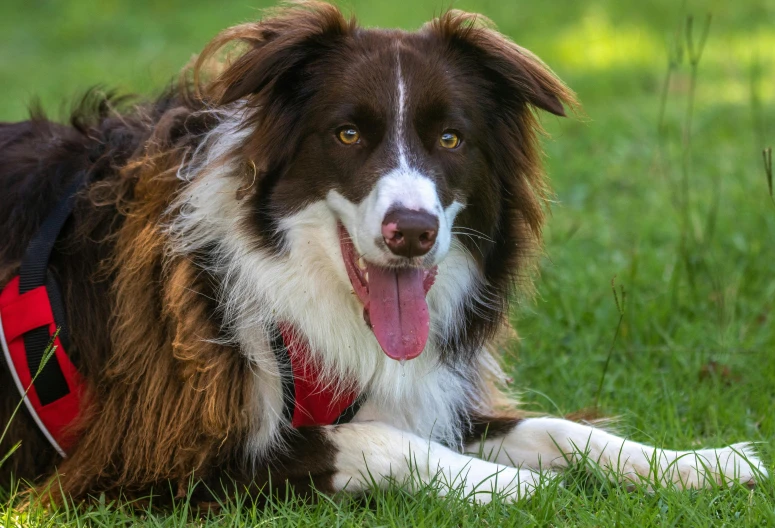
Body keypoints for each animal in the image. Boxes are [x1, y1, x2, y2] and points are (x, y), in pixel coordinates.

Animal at [0, 0, 764, 504]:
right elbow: (367, 439)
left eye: (451, 138)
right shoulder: (142, 457)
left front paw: (704, 463)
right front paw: (512, 486)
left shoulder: (424, 392)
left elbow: (557, 430)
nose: (412, 232)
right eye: (347, 134)